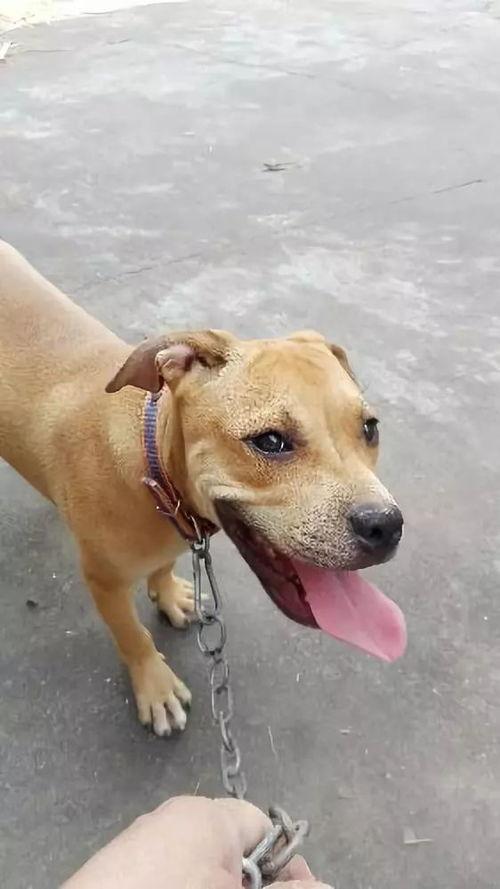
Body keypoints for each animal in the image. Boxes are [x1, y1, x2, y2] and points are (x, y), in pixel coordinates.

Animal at [0, 240, 406, 737]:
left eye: (370, 428)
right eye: (270, 441)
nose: (386, 526)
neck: (151, 465)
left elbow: (160, 568)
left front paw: (169, 594)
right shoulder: (104, 581)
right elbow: (133, 636)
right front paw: (155, 686)